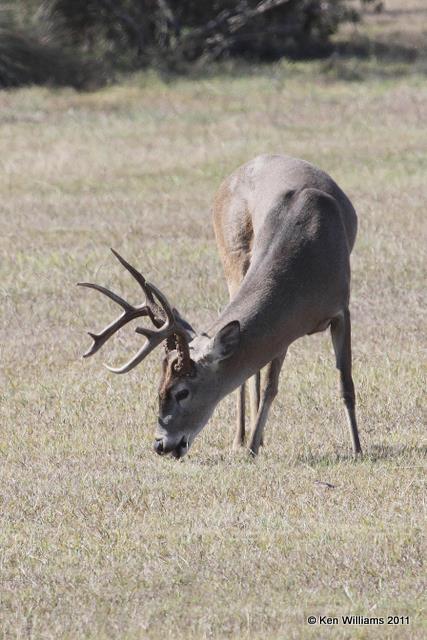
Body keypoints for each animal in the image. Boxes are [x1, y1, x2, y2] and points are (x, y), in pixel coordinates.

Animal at [79, 152, 362, 458]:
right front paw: (252, 447)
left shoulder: (339, 308)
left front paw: (357, 448)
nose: (160, 445)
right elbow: (269, 386)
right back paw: (241, 438)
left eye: (182, 391)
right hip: (232, 257)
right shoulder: (285, 327)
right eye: (159, 388)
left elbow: (345, 384)